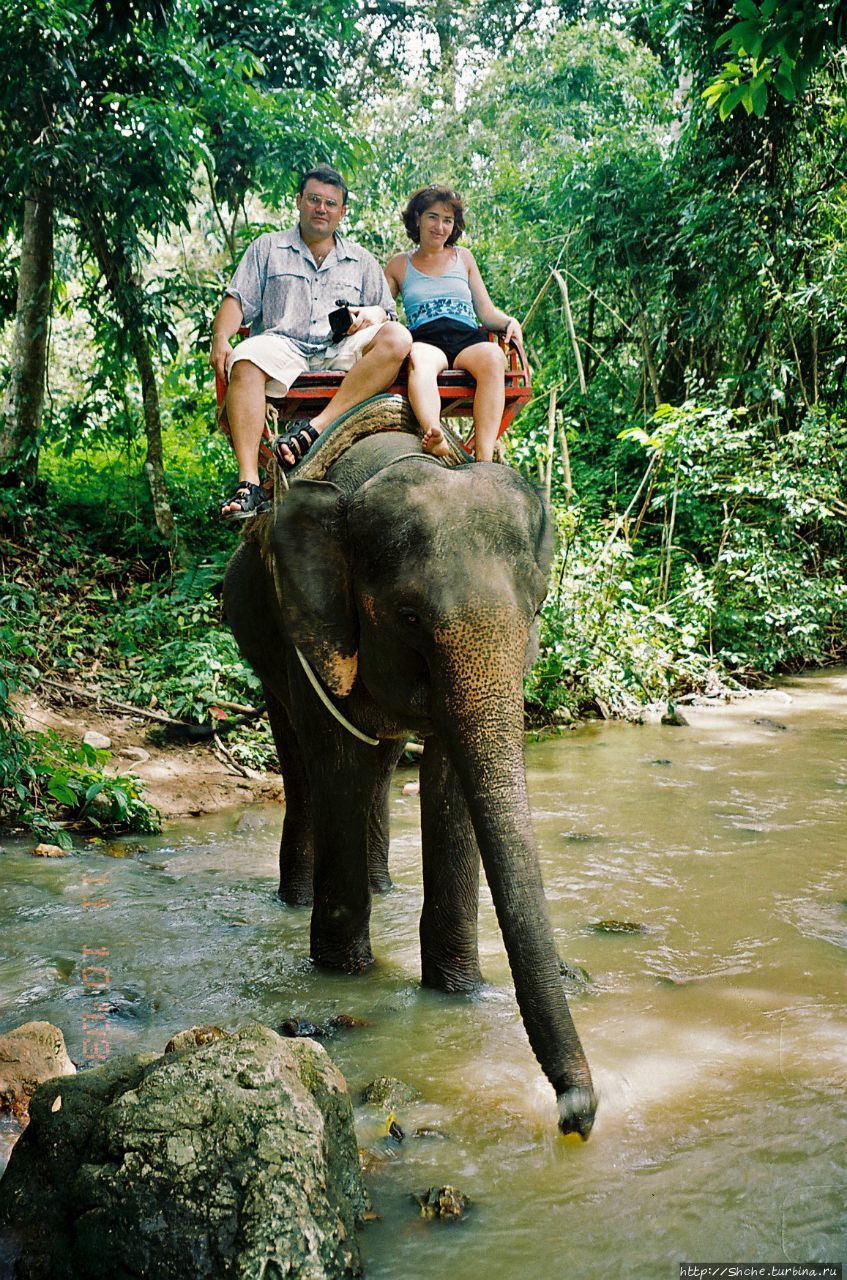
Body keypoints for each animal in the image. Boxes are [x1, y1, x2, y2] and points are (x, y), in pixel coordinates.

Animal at [223, 430, 596, 1141]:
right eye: (410, 616)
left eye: (537, 608)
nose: (577, 1115)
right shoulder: (313, 632)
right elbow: (337, 758)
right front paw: (343, 975)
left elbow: (448, 779)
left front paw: (457, 992)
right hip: (263, 641)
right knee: (305, 761)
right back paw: (296, 897)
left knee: (382, 758)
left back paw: (382, 884)